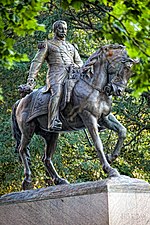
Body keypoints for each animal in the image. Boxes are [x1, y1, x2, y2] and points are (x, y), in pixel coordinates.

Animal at [11, 43, 137, 190]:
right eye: (124, 68)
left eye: (131, 72)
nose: (118, 90)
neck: (93, 87)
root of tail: (21, 101)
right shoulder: (89, 117)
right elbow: (98, 144)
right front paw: (110, 169)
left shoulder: (104, 117)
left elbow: (122, 131)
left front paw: (112, 156)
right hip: (28, 130)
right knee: (22, 150)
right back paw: (27, 180)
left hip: (51, 134)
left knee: (46, 159)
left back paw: (59, 180)